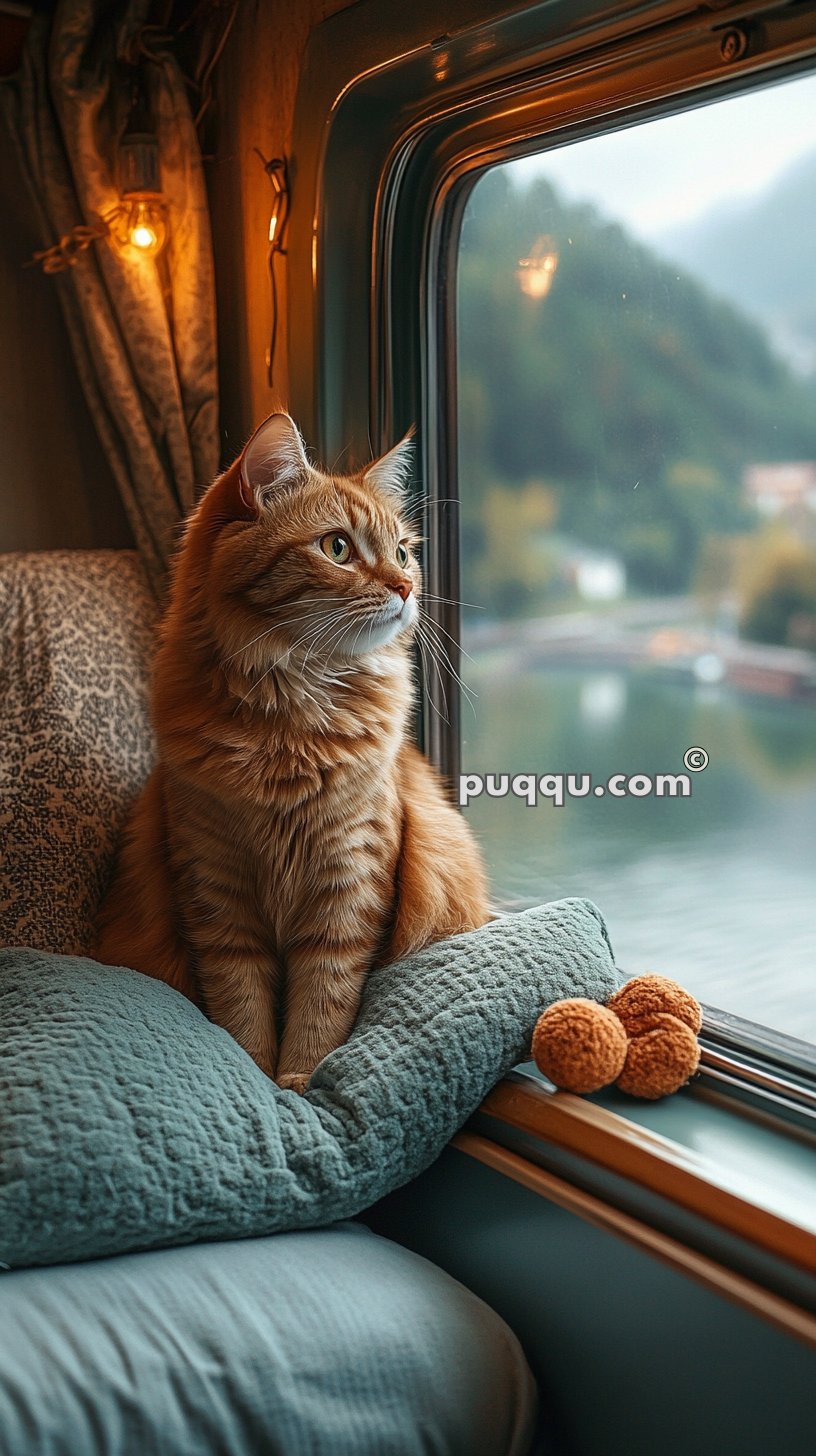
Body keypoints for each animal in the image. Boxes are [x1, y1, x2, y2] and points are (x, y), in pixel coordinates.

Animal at [95, 416, 489, 1089]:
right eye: (337, 548)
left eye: (403, 551)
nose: (408, 586)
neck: (291, 724)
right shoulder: (216, 892)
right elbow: (241, 1004)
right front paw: (257, 1076)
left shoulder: (350, 884)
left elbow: (321, 1003)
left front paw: (300, 1081)